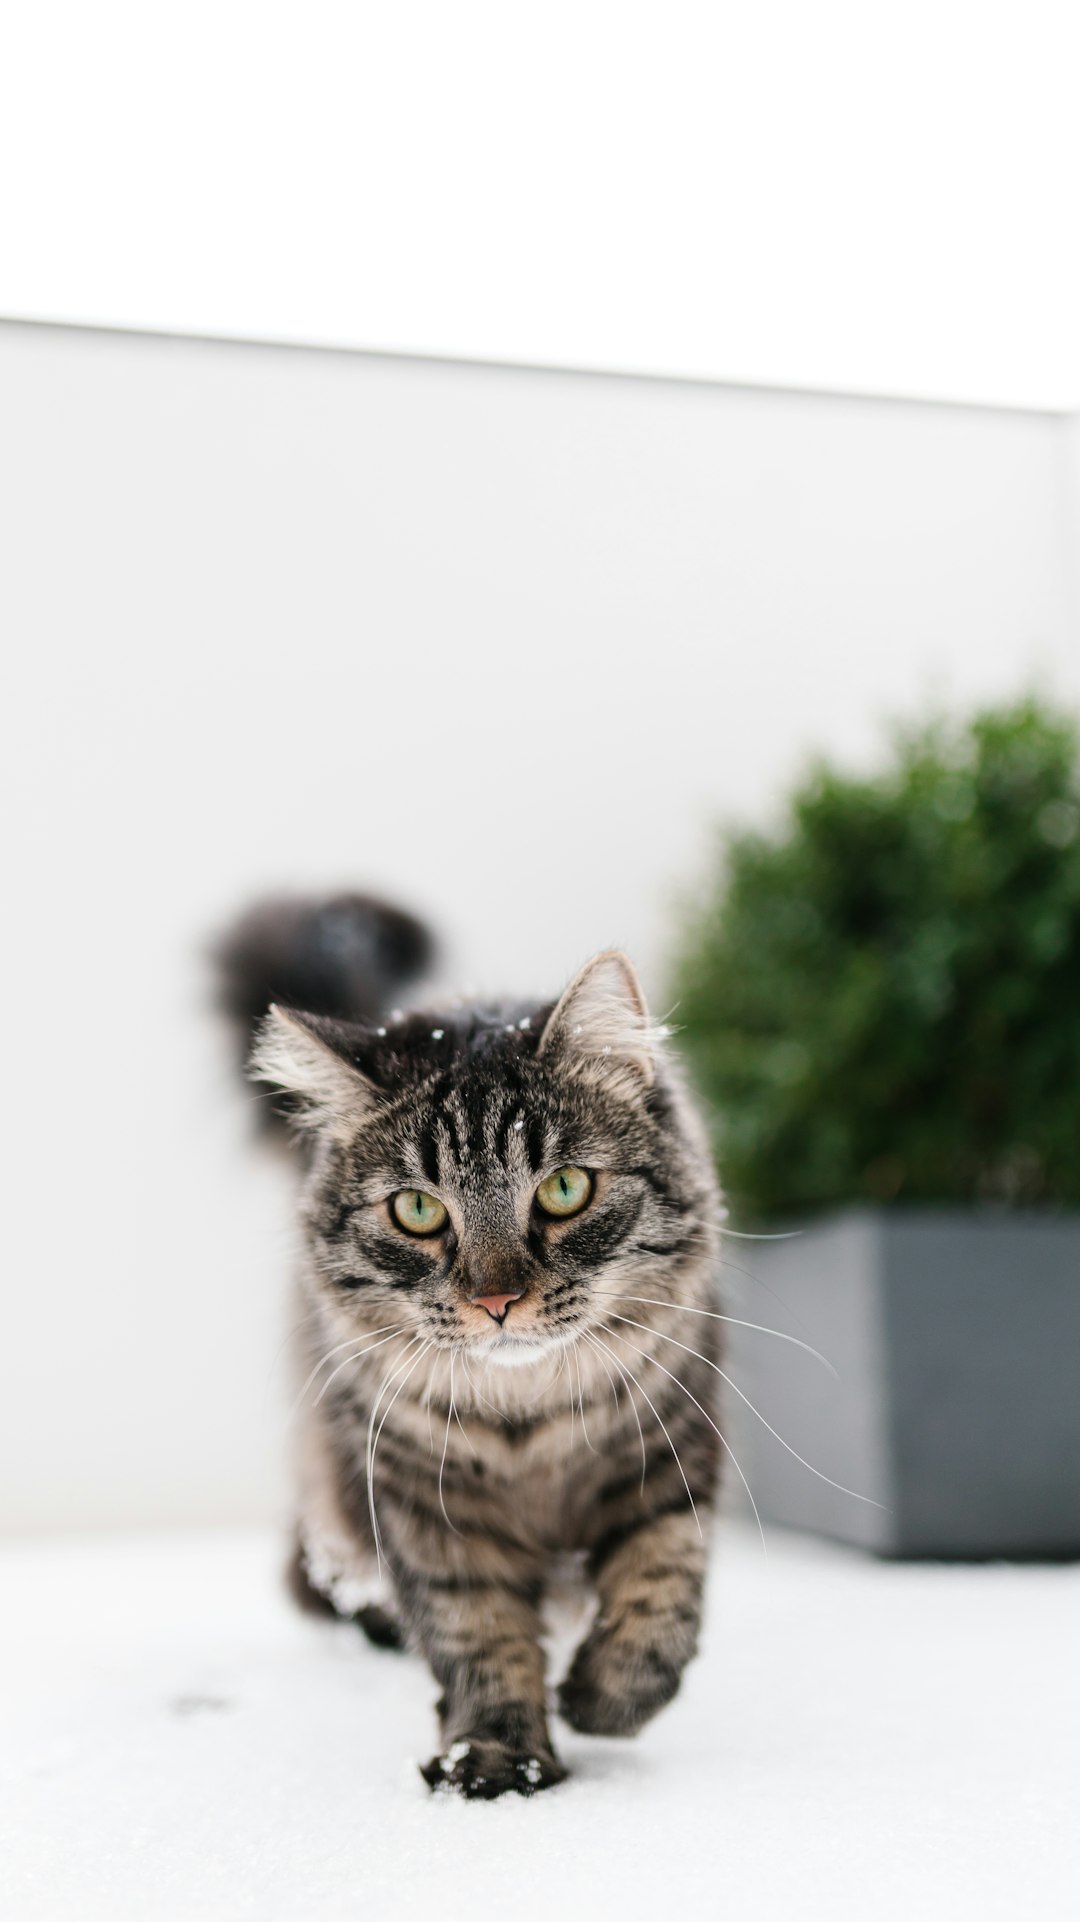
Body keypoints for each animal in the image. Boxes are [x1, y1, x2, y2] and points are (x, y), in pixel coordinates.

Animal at [249, 945, 722, 1798]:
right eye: (417, 1210)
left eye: (565, 1189)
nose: (496, 1300)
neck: (526, 1416)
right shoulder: (423, 1507)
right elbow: (479, 1636)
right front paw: (496, 1759)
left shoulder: (673, 1457)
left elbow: (659, 1594)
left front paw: (602, 1702)